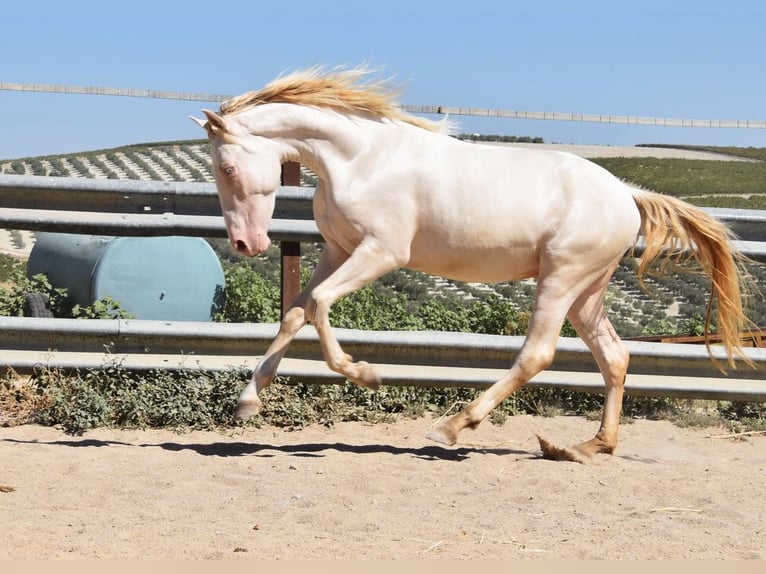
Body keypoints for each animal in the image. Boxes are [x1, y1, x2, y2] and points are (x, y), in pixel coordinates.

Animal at [190, 67, 752, 464]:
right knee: (613, 357)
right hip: (586, 291)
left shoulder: (381, 252)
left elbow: (322, 305)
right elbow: (297, 312)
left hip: (560, 279)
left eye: (228, 166)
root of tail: (628, 195)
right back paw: (589, 447)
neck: (362, 159)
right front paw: (247, 402)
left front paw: (366, 374)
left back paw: (453, 426)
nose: (244, 244)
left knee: (537, 355)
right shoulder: (338, 249)